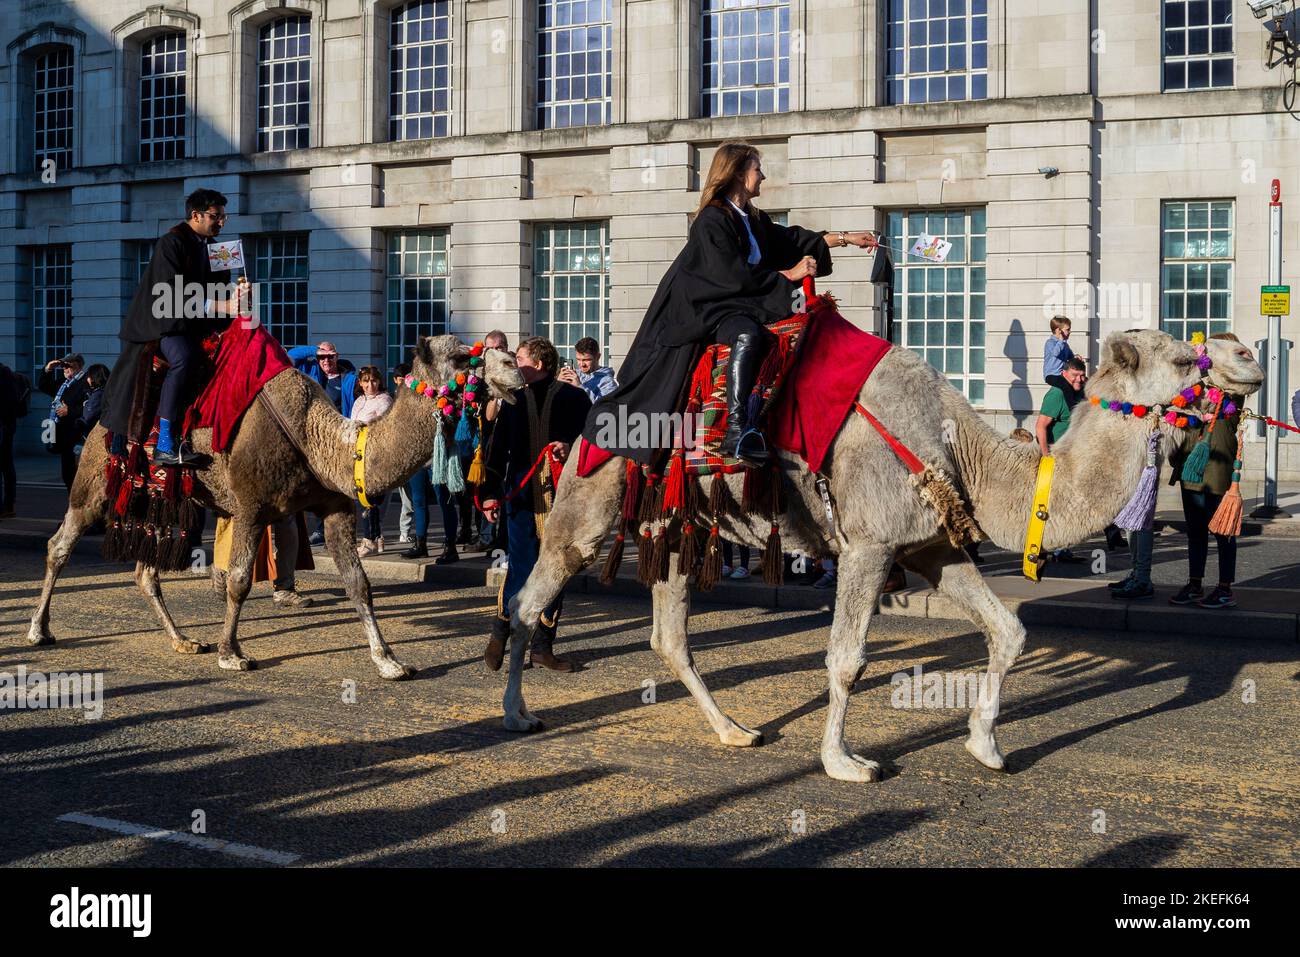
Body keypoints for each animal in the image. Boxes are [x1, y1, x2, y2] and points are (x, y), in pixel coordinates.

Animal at [26, 335, 522, 681]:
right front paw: (232, 654)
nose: (514, 367)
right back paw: (38, 630)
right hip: (95, 484)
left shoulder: (336, 507)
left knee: (145, 571)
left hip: (164, 498)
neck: (318, 440)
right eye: (461, 357)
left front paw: (389, 661)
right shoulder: (249, 507)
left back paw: (183, 641)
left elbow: (359, 585)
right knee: (60, 544)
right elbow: (240, 581)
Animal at [493, 328, 1258, 780]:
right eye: (1184, 357)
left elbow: (1009, 631)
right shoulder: (867, 543)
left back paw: (736, 731)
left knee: (668, 634)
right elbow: (847, 658)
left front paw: (987, 746)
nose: (1246, 353)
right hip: (588, 501)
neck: (963, 448)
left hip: (678, 527)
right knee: (532, 592)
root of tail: (586, 413)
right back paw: (517, 714)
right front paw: (844, 761)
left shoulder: (930, 547)